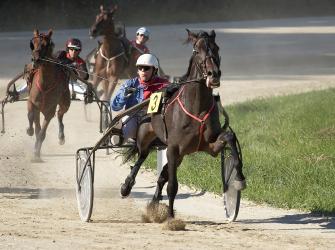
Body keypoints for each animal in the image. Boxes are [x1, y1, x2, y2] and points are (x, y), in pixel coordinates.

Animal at [27, 29, 71, 161]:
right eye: (33, 44)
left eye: (46, 45)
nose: (35, 59)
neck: (45, 83)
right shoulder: (33, 103)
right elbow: (31, 117)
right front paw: (30, 130)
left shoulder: (50, 110)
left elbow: (42, 133)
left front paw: (36, 154)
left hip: (65, 101)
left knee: (60, 113)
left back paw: (61, 136)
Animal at [121, 29, 247, 219]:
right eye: (196, 50)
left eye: (216, 48)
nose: (214, 74)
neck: (197, 108)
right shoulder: (173, 148)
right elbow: (173, 186)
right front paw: (171, 217)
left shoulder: (210, 145)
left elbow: (229, 136)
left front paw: (238, 178)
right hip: (146, 140)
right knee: (141, 157)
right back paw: (127, 186)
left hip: (180, 155)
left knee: (161, 176)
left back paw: (154, 203)